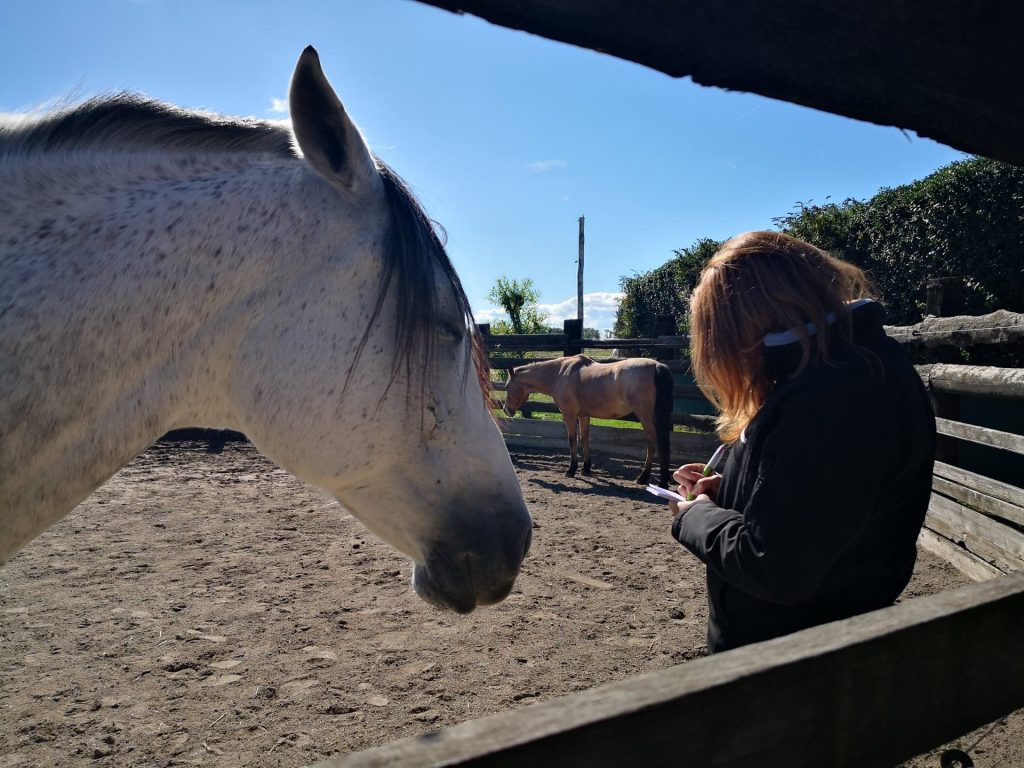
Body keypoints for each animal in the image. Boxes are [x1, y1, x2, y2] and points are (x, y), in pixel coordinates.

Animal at [503, 354, 673, 486]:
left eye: (506, 387)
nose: (506, 409)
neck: (559, 374)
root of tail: (657, 366)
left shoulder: (569, 415)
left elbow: (572, 440)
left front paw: (571, 469)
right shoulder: (584, 415)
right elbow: (584, 439)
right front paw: (585, 468)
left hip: (645, 417)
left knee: (652, 445)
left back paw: (644, 478)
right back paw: (662, 480)